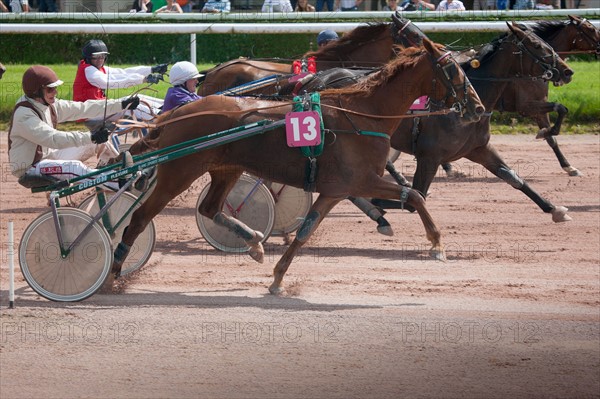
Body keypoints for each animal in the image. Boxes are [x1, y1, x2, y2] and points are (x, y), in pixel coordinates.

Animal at [110, 39, 488, 296]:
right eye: (453, 69)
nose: (478, 108)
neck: (363, 113)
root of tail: (174, 114)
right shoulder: (362, 180)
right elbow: (416, 196)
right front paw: (437, 245)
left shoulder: (337, 189)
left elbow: (307, 230)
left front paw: (277, 279)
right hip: (179, 170)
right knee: (140, 217)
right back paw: (115, 270)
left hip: (226, 168)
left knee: (210, 207)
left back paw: (254, 242)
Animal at [370, 22, 576, 225]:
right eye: (536, 45)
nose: (567, 71)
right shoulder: (429, 156)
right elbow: (415, 198)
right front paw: (375, 204)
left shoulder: (479, 148)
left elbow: (512, 177)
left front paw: (554, 209)